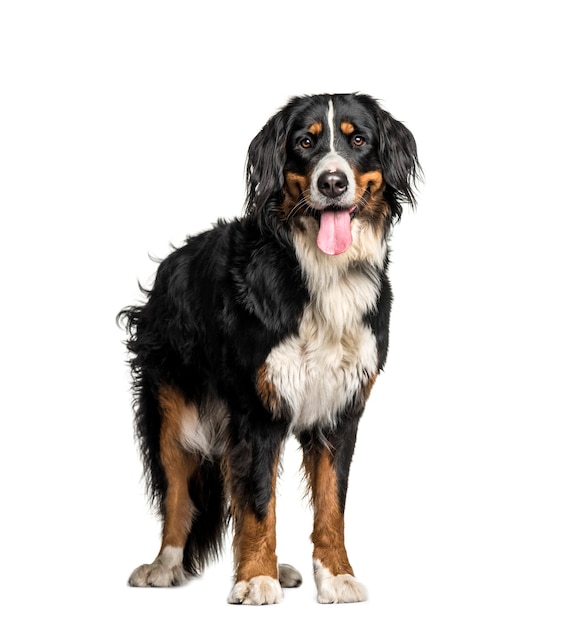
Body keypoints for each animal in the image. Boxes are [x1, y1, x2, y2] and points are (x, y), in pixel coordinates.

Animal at [118, 90, 420, 604]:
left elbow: (330, 503)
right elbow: (259, 504)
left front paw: (335, 575)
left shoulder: (341, 410)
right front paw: (257, 579)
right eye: (305, 142)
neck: (321, 274)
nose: (333, 182)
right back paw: (164, 566)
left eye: (358, 140)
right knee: (180, 496)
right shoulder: (256, 409)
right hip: (171, 413)